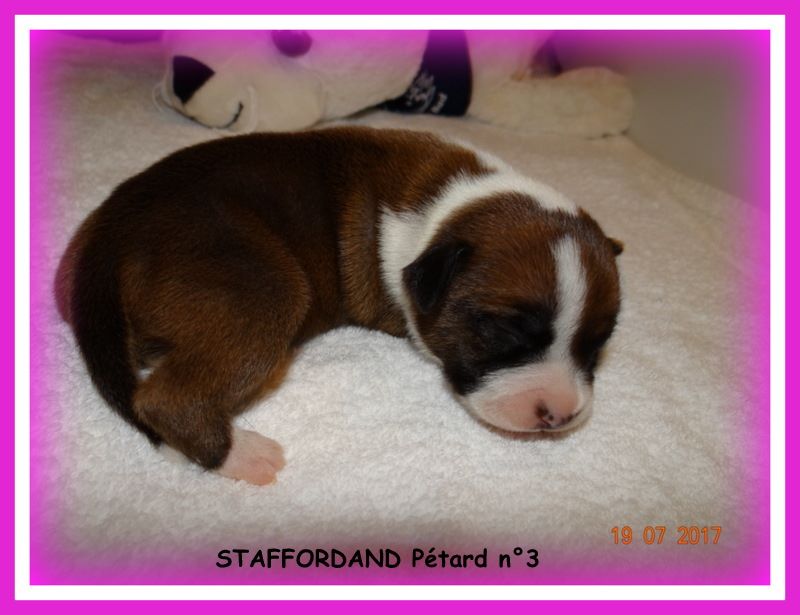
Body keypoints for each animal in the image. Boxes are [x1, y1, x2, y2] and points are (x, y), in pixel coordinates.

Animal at [56, 127, 622, 486]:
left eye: (598, 344)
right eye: (506, 332)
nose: (561, 415)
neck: (450, 210)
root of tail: (110, 236)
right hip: (264, 289)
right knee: (164, 398)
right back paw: (244, 456)